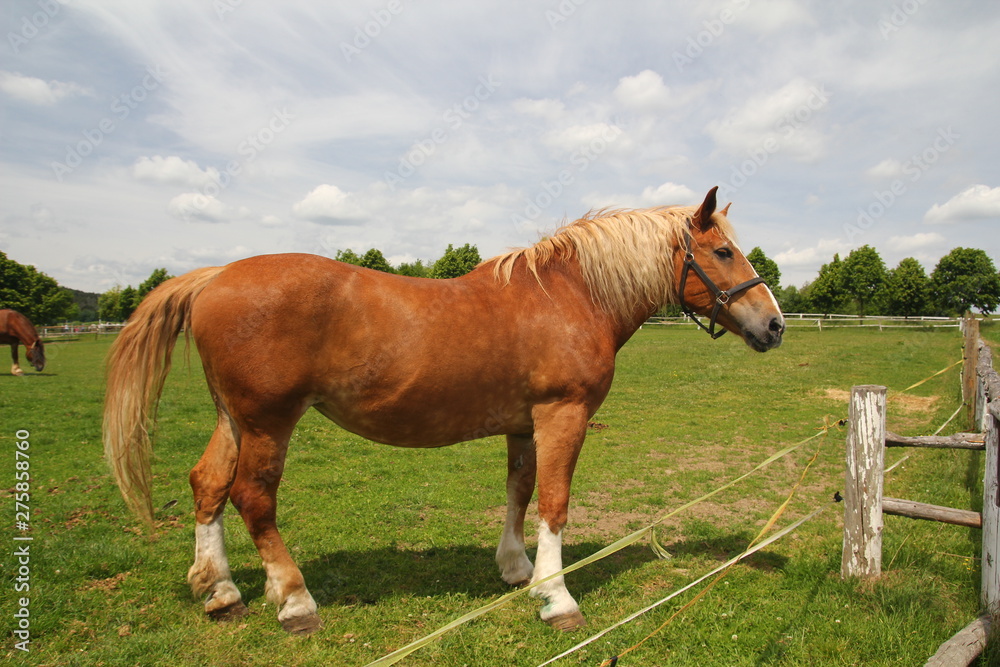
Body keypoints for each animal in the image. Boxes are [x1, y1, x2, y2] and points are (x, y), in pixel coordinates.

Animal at [103, 186, 784, 635]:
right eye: (724, 252)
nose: (774, 325)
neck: (569, 295)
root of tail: (214, 276)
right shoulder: (563, 415)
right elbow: (555, 502)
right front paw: (556, 596)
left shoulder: (524, 424)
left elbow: (519, 491)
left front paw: (515, 568)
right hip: (269, 423)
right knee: (253, 498)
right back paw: (294, 601)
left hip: (234, 419)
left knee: (208, 484)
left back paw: (220, 590)